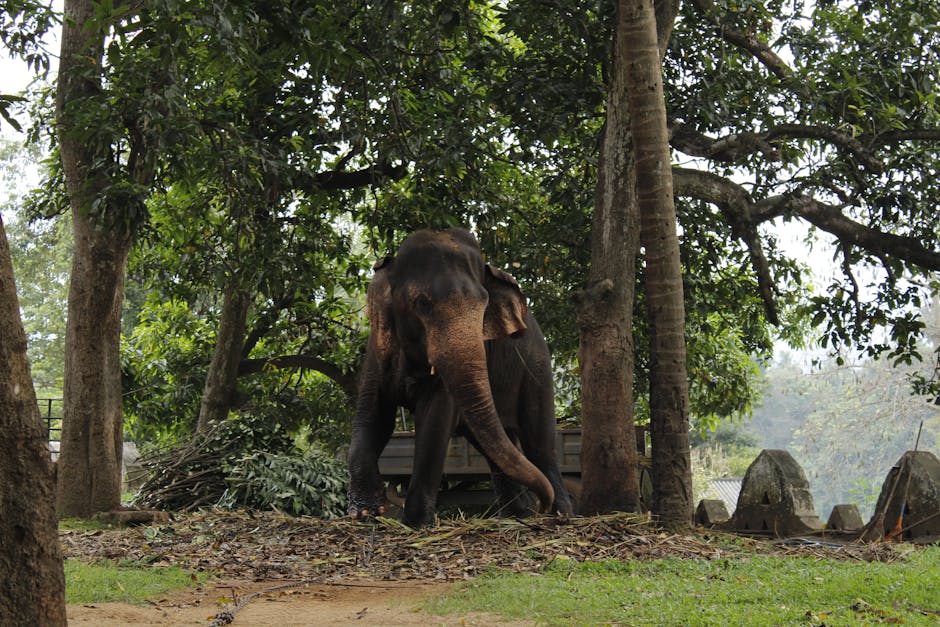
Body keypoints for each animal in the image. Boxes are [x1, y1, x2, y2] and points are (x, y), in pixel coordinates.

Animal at [347, 227, 573, 528]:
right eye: (421, 303)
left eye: (484, 304)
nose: (542, 506)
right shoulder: (377, 347)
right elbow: (373, 413)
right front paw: (366, 513)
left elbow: (435, 419)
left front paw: (417, 523)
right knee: (495, 443)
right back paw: (519, 514)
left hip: (537, 367)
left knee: (539, 442)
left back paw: (561, 514)